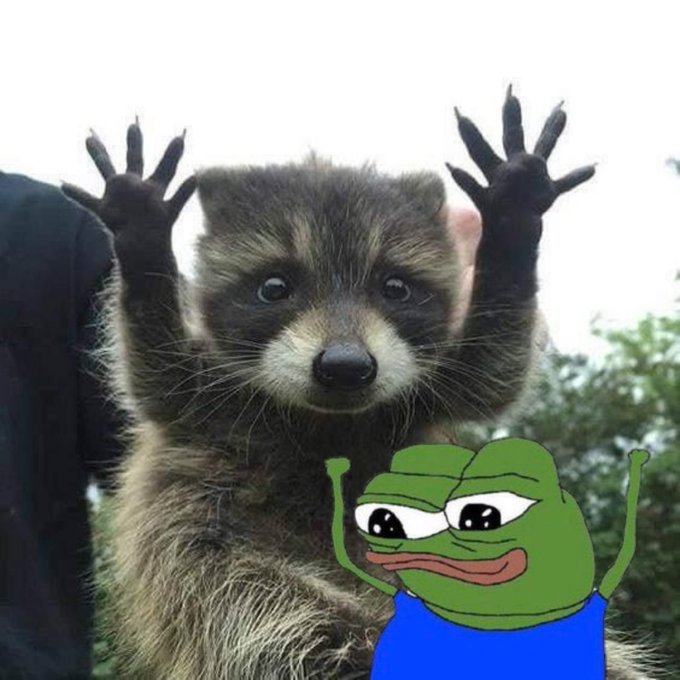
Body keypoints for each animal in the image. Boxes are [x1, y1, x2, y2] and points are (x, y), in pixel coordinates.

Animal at [63, 90, 646, 679]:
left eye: (395, 288)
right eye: (274, 287)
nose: (345, 366)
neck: (328, 420)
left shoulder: (422, 391)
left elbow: (492, 369)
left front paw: (512, 227)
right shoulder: (210, 404)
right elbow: (155, 371)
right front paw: (143, 244)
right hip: (235, 574)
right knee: (298, 629)